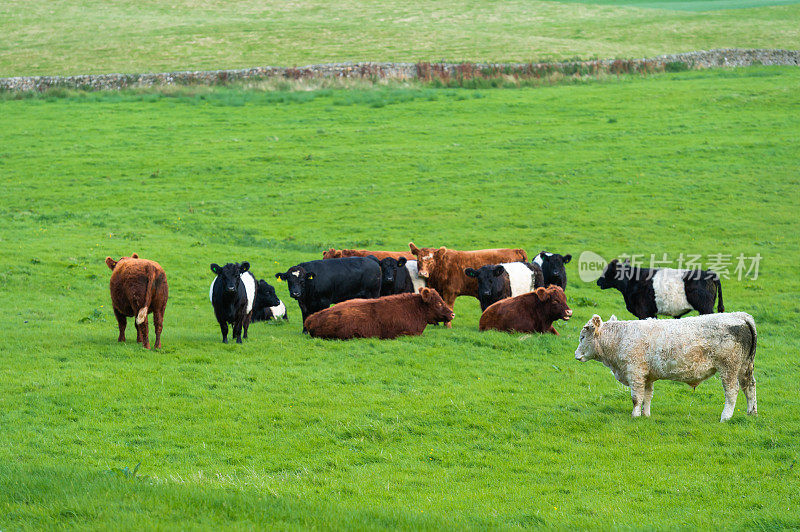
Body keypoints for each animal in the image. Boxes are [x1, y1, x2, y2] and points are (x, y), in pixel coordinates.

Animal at [576, 314, 756, 422]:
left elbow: (636, 398)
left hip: (729, 368)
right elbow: (647, 396)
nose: (576, 355)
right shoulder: (647, 377)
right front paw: (646, 415)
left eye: (582, 337)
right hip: (745, 367)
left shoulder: (635, 373)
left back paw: (725, 417)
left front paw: (635, 415)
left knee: (732, 391)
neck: (620, 338)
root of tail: (739, 316)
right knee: (749, 387)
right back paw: (751, 412)